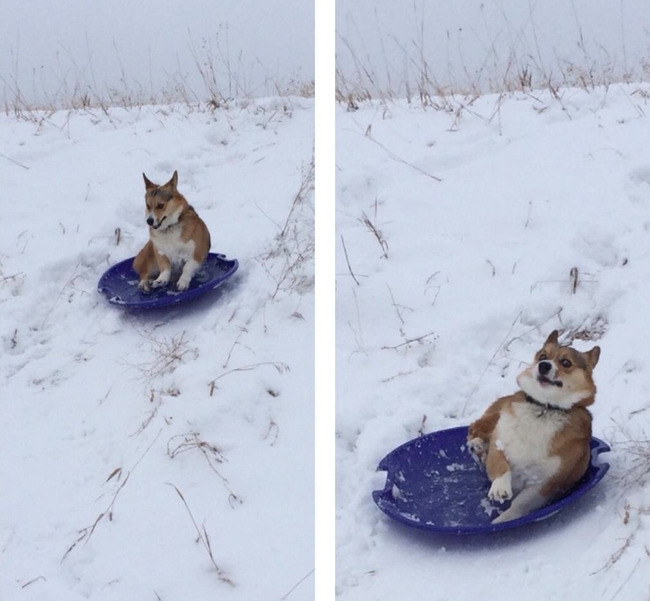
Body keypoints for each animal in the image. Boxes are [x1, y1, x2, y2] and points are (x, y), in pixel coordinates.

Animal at [466, 330, 596, 524]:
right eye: (543, 356)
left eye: (566, 362)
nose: (543, 365)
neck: (544, 408)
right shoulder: (500, 441)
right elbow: (499, 464)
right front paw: (500, 487)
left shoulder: (545, 483)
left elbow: (519, 505)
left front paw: (503, 520)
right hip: (494, 417)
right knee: (474, 428)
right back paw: (478, 445)